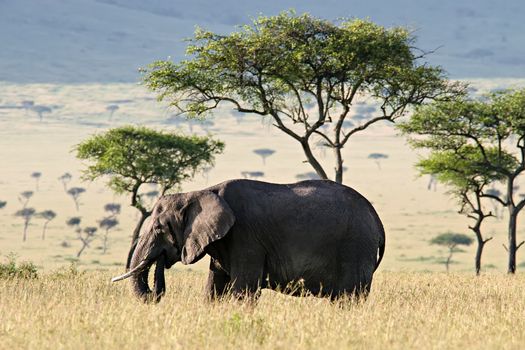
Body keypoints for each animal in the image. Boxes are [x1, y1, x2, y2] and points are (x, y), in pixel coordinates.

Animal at [111, 179, 384, 302]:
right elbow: (214, 288)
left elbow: (243, 290)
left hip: (356, 245)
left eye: (159, 228)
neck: (201, 192)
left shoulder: (246, 238)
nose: (154, 292)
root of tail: (377, 219)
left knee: (350, 296)